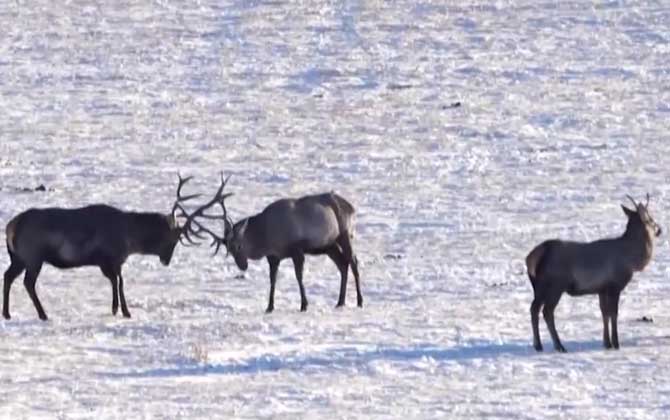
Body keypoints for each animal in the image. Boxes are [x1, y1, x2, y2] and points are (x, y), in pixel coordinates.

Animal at [1, 175, 226, 322]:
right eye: (172, 240)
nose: (166, 260)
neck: (130, 237)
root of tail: (11, 227)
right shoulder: (111, 258)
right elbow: (119, 282)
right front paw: (123, 311)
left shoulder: (111, 261)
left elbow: (117, 282)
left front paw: (117, 309)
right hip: (33, 256)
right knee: (28, 283)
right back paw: (43, 314)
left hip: (18, 258)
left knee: (8, 276)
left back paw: (7, 313)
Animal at [189, 176, 364, 314]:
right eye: (229, 250)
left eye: (239, 246)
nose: (243, 266)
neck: (267, 237)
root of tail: (353, 208)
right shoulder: (273, 256)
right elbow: (272, 280)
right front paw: (269, 306)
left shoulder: (296, 249)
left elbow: (299, 277)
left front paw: (304, 305)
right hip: (329, 245)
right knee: (343, 264)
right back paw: (340, 302)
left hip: (345, 234)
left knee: (353, 262)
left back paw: (359, 301)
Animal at [528, 195, 664, 352]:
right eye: (650, 219)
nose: (659, 229)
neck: (632, 260)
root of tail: (533, 257)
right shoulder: (614, 286)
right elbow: (614, 314)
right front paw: (616, 343)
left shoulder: (602, 289)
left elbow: (604, 314)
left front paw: (607, 343)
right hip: (555, 285)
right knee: (547, 312)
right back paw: (558, 345)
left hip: (539, 287)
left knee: (534, 308)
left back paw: (539, 345)